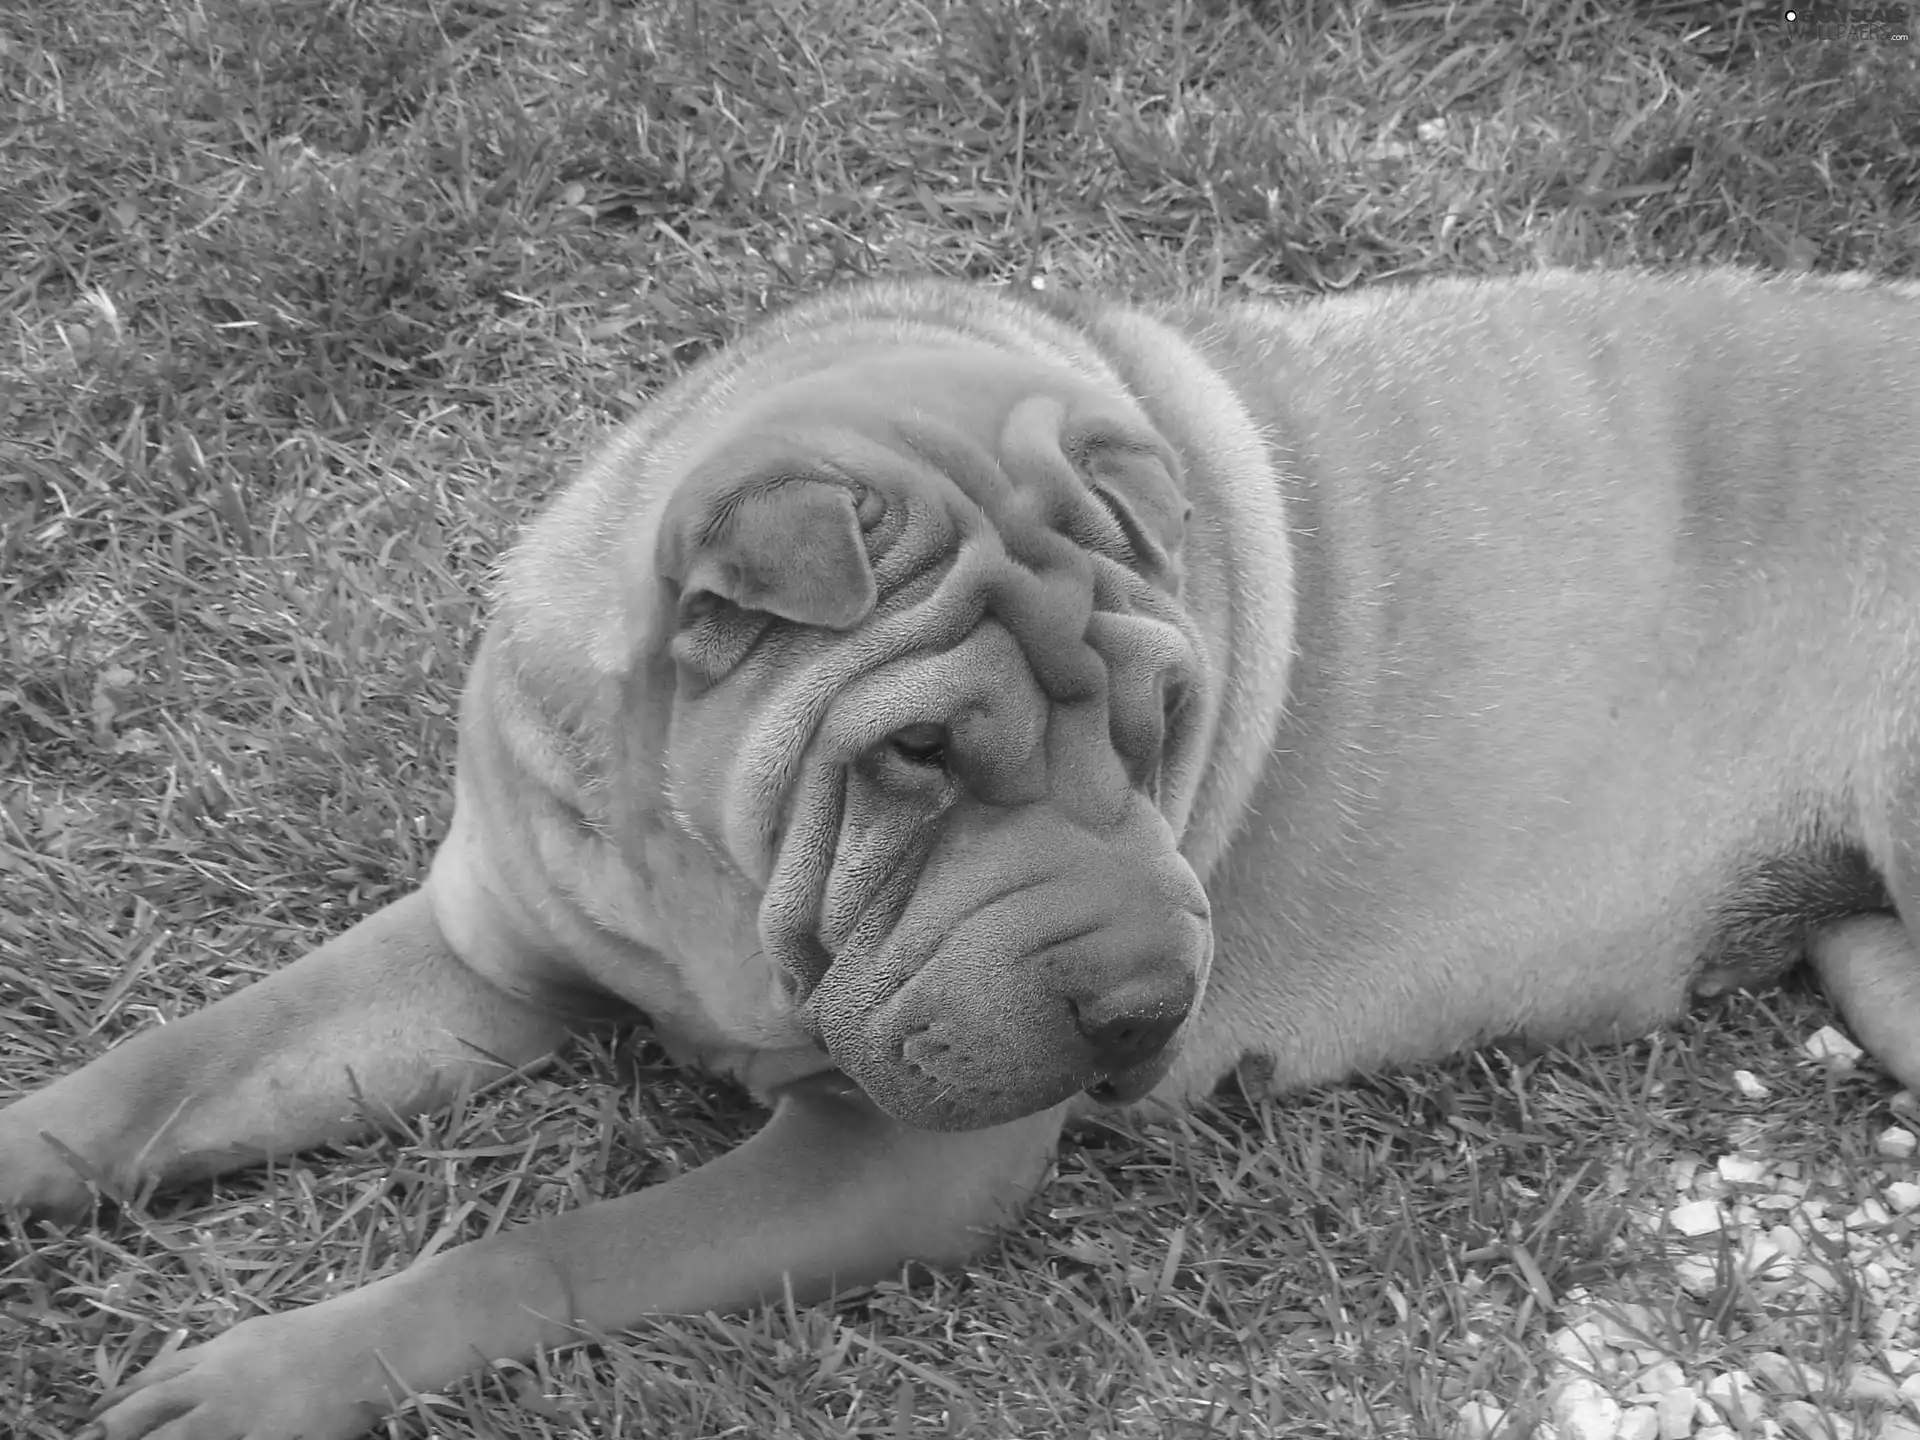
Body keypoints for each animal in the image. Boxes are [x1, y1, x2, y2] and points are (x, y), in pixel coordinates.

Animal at [3, 270, 1920, 1440]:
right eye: (915, 754)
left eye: (1168, 715)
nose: (1150, 1008)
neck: (704, 876)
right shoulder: (479, 954)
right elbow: (173, 1068)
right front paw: (39, 1142)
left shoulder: (895, 1160)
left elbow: (555, 1249)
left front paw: (280, 1371)